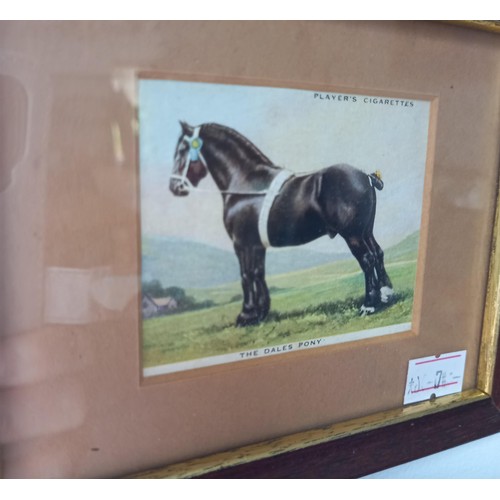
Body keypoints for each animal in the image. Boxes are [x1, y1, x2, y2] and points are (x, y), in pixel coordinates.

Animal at [170, 120, 392, 324]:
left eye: (181, 150)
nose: (174, 187)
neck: (246, 183)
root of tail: (366, 176)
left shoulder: (241, 243)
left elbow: (246, 275)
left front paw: (246, 315)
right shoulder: (256, 245)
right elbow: (258, 273)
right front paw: (261, 312)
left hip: (352, 234)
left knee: (367, 259)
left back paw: (369, 305)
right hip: (366, 231)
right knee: (378, 253)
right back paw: (386, 294)